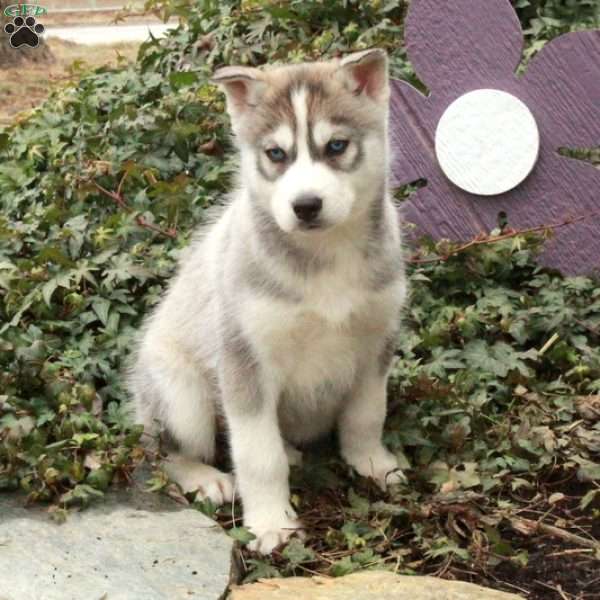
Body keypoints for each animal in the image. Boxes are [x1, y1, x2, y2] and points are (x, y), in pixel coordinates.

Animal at [126, 49, 408, 556]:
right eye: (276, 154)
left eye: (336, 146)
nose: (306, 205)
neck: (324, 257)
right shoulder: (245, 360)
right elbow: (258, 454)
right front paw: (272, 523)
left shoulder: (377, 342)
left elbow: (365, 415)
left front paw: (372, 462)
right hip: (181, 395)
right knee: (164, 454)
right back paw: (206, 478)